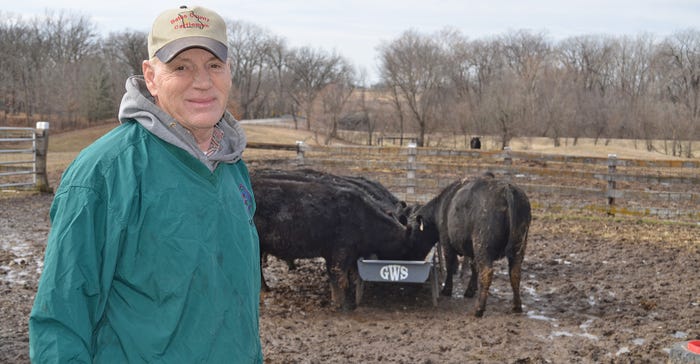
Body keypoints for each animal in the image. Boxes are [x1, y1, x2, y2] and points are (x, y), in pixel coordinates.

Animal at [404, 176, 532, 316]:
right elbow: (473, 267)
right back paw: (516, 306)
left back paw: (479, 309)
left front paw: (447, 289)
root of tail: (506, 188)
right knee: (515, 273)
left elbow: (450, 265)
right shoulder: (471, 249)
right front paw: (471, 289)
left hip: (482, 245)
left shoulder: (447, 243)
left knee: (487, 272)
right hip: (518, 246)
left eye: (413, 230)